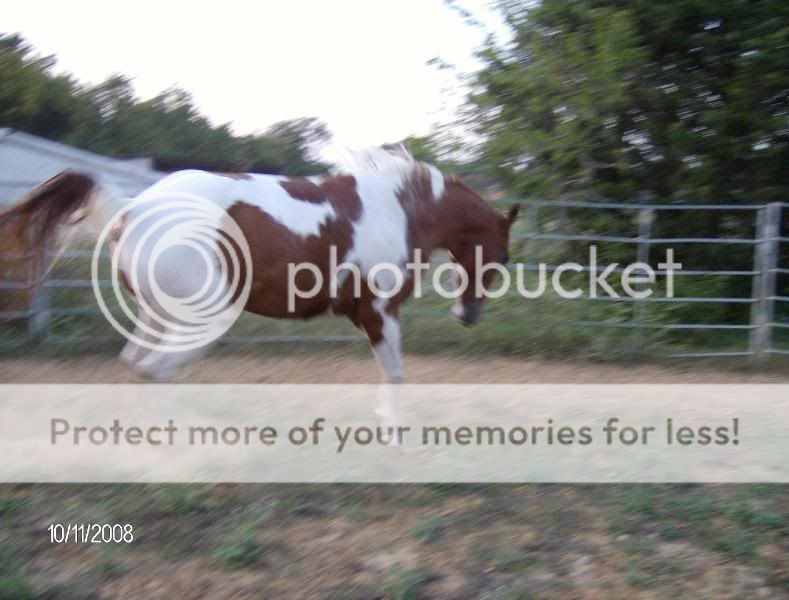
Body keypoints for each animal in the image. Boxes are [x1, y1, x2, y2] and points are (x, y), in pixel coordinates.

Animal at [1, 152, 516, 382]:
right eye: (504, 256)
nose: (467, 314)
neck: (400, 210)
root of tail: (131, 208)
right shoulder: (379, 312)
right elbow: (394, 375)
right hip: (206, 315)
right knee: (157, 369)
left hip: (159, 314)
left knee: (138, 364)